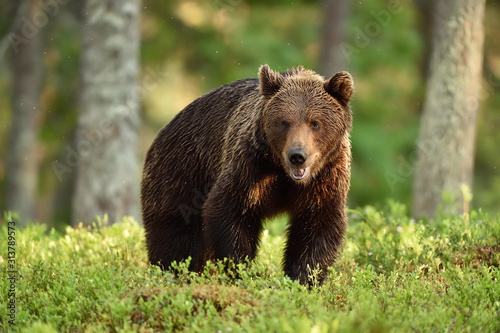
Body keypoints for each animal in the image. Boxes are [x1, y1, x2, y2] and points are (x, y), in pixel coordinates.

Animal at [139, 65, 354, 286]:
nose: (297, 156)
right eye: (284, 122)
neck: (282, 171)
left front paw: (302, 278)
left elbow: (318, 223)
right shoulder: (250, 165)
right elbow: (230, 210)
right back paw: (173, 272)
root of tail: (166, 128)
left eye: (315, 122)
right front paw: (240, 269)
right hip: (181, 173)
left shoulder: (326, 177)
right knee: (175, 234)